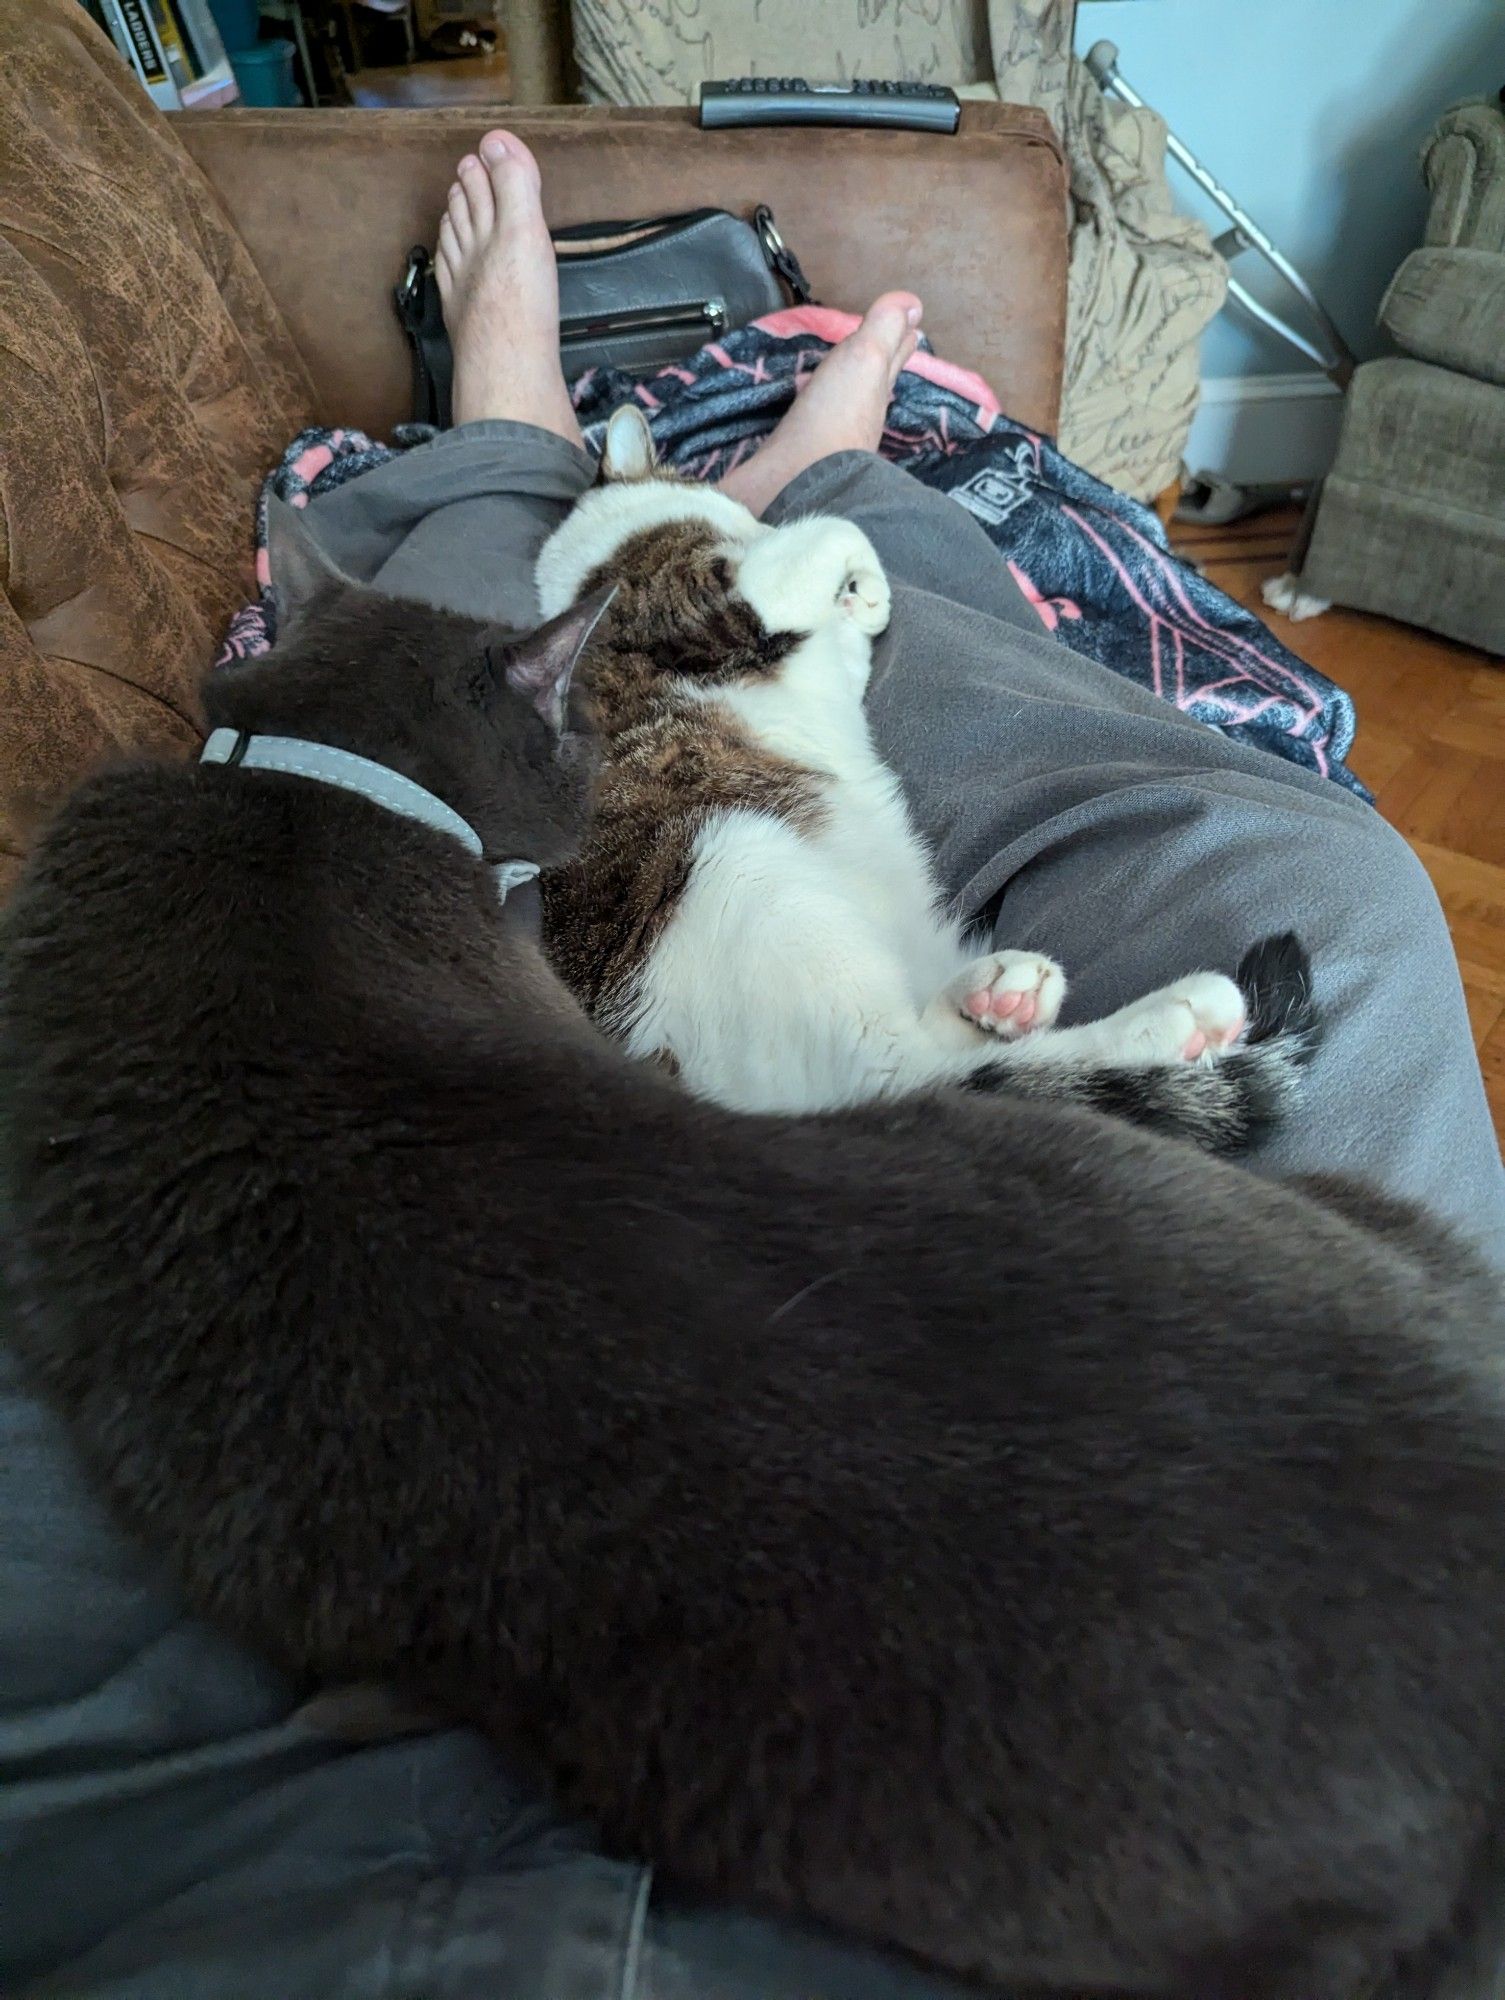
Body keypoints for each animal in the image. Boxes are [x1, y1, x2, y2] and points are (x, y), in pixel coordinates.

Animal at [536, 410, 1312, 1144]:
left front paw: (860, 601)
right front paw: (860, 580)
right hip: (743, 874)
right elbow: (835, 528)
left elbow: (839, 624)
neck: (596, 563)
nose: (761, 522)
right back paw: (1173, 1018)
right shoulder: (714, 600)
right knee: (914, 1072)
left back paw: (1005, 1000)